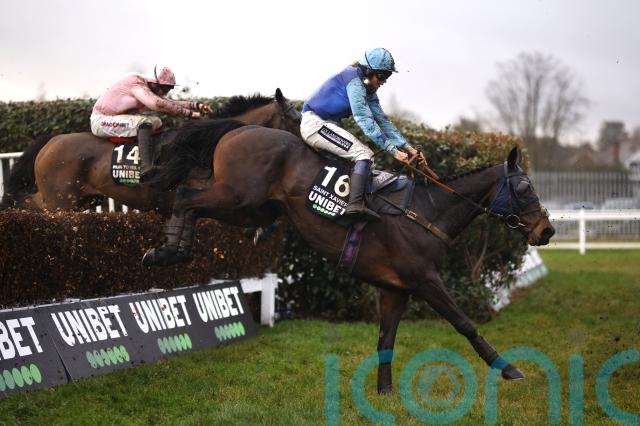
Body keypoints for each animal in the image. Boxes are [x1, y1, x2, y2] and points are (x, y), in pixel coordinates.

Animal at [141, 120, 555, 393]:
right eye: (523, 187)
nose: (547, 230)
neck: (426, 211)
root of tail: (238, 130)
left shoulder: (396, 289)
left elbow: (386, 339)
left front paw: (385, 392)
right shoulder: (424, 280)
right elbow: (465, 323)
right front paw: (509, 369)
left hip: (252, 209)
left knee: (190, 201)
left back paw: (168, 250)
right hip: (238, 197)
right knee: (186, 199)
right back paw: (166, 251)